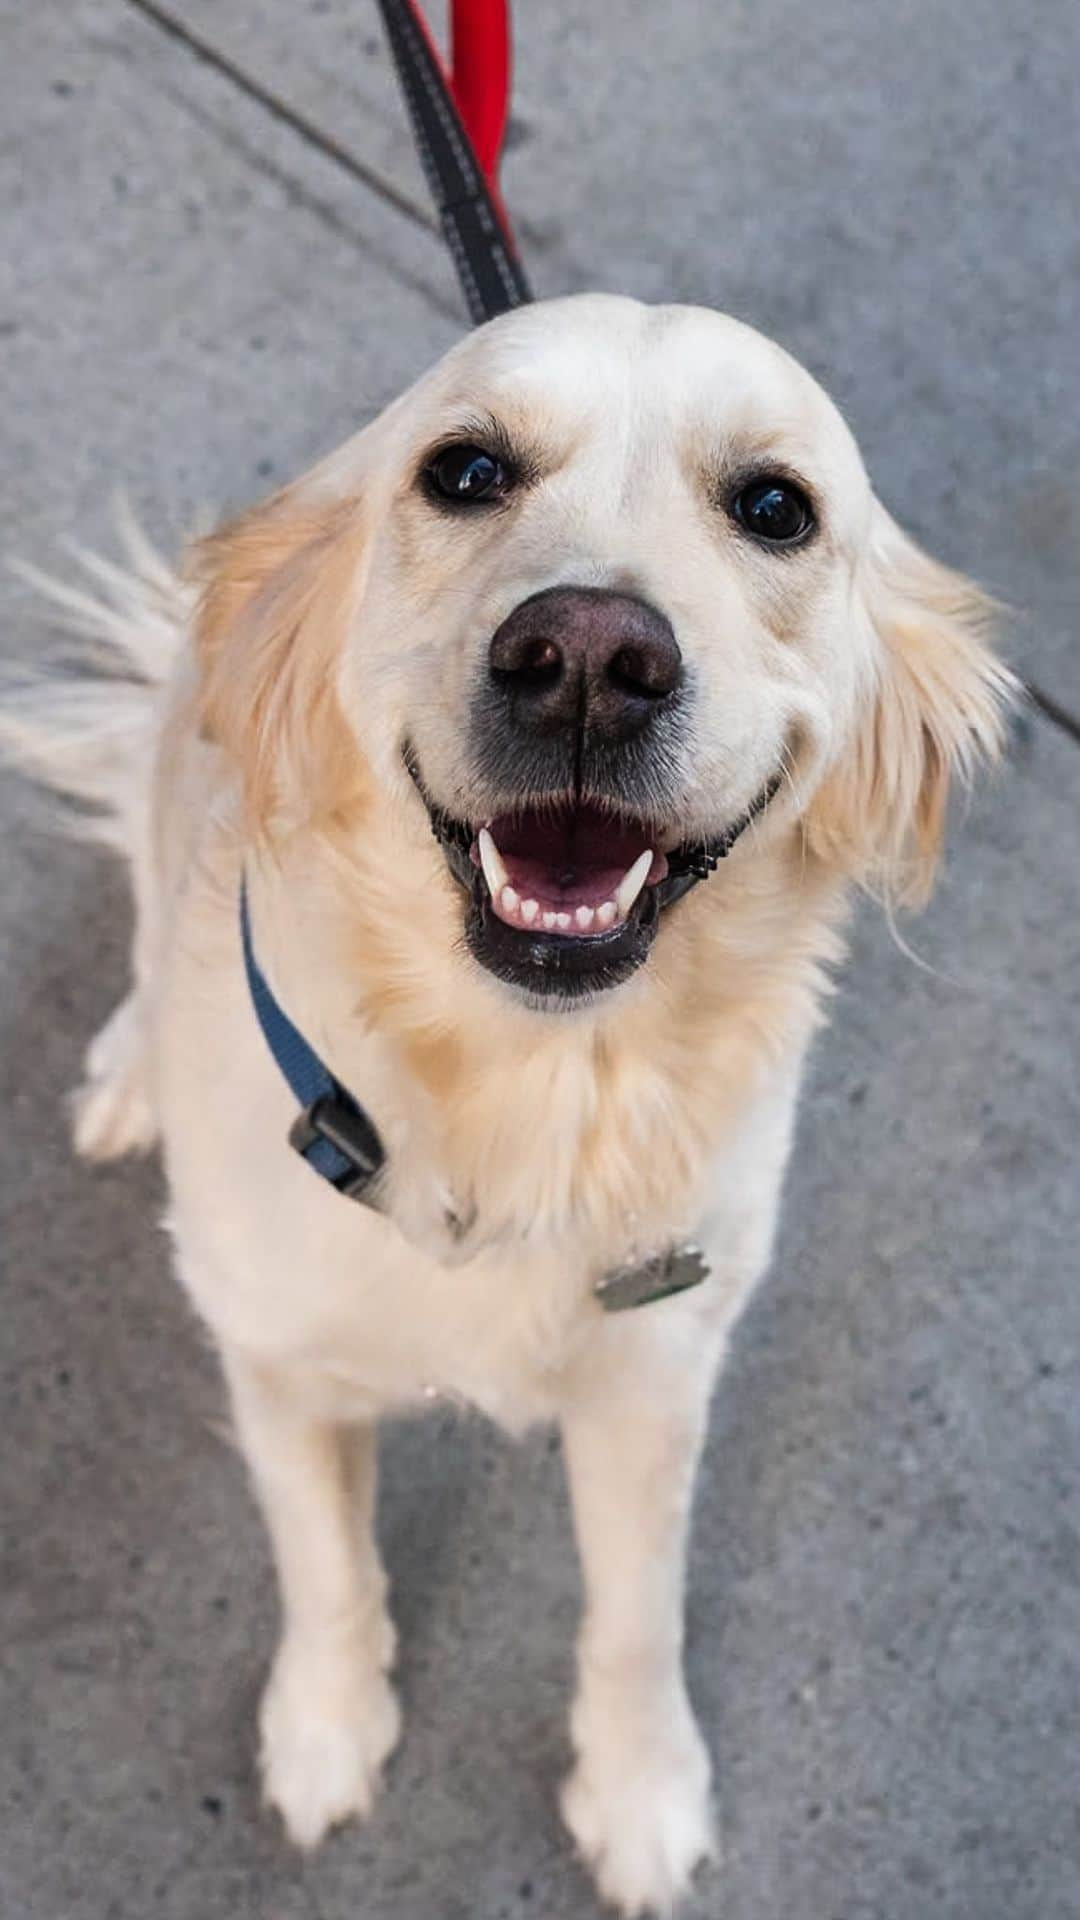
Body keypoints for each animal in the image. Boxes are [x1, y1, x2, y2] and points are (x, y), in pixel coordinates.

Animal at [0, 291, 1006, 1912]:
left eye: (776, 508)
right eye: (465, 472)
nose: (589, 656)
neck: (518, 1088)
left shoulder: (657, 1374)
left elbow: (637, 1618)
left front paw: (642, 1789)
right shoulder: (277, 1364)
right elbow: (328, 1571)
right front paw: (326, 1731)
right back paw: (123, 1072)